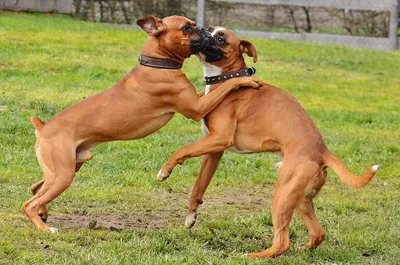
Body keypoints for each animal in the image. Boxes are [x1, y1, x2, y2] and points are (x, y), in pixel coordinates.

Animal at [25, 17, 262, 231]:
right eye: (187, 28)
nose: (204, 29)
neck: (157, 64)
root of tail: (43, 127)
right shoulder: (195, 108)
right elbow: (227, 85)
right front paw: (246, 79)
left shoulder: (196, 99)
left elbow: (212, 88)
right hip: (64, 175)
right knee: (29, 204)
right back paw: (45, 228)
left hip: (66, 168)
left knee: (36, 188)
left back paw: (44, 213)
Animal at [157, 27, 378, 258]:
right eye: (210, 30)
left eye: (220, 38)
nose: (203, 31)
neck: (227, 79)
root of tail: (323, 152)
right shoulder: (213, 150)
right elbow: (198, 186)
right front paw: (191, 216)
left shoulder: (219, 139)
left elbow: (181, 151)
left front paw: (164, 171)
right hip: (299, 199)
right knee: (318, 233)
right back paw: (302, 249)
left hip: (282, 195)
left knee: (282, 241)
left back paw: (254, 256)